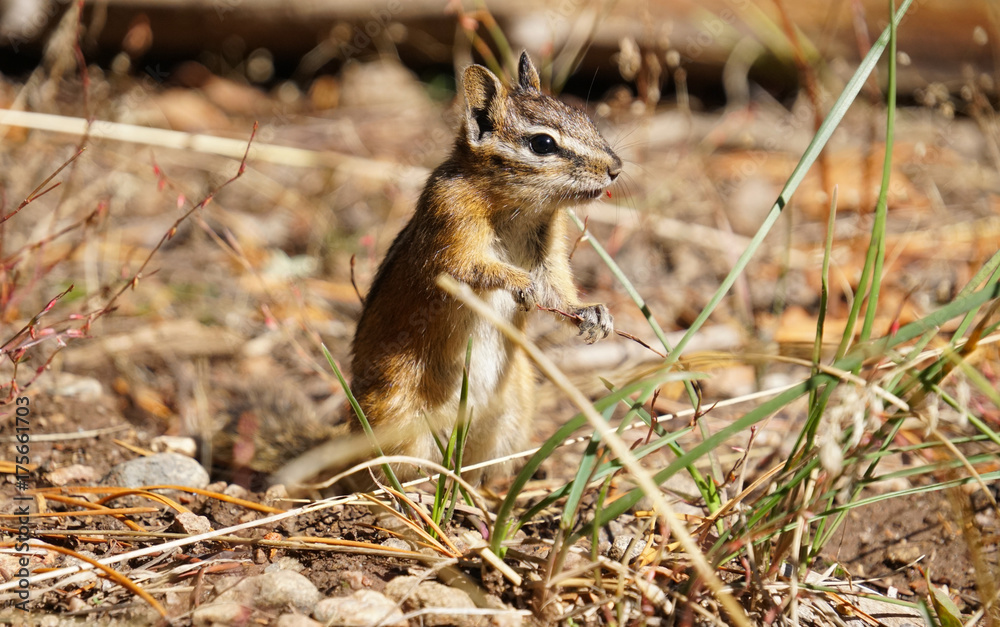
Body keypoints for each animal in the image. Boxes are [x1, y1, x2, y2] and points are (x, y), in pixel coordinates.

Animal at [217, 53, 621, 489]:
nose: (615, 168)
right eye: (543, 143)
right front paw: (519, 282)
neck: (517, 206)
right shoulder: (449, 222)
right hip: (398, 417)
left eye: (585, 116)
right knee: (390, 474)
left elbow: (556, 290)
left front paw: (593, 313)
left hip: (513, 411)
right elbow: (469, 269)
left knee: (478, 469)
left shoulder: (549, 247)